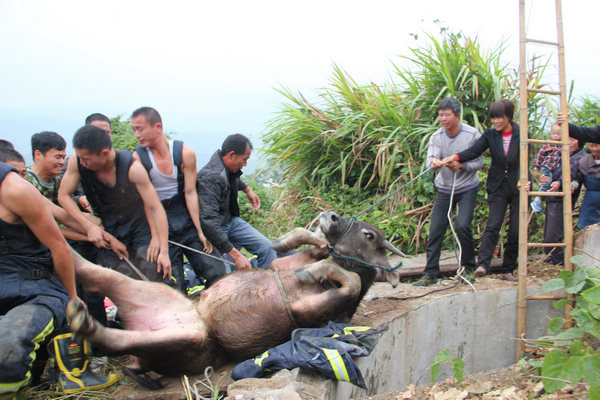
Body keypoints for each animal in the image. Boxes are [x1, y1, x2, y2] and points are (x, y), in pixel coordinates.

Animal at [67, 211, 404, 376]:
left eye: (369, 235)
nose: (331, 216)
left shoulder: (313, 314)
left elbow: (353, 282)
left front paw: (317, 271)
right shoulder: (280, 265)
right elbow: (304, 242)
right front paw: (292, 243)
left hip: (186, 342)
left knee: (116, 339)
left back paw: (85, 321)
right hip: (156, 292)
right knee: (97, 273)